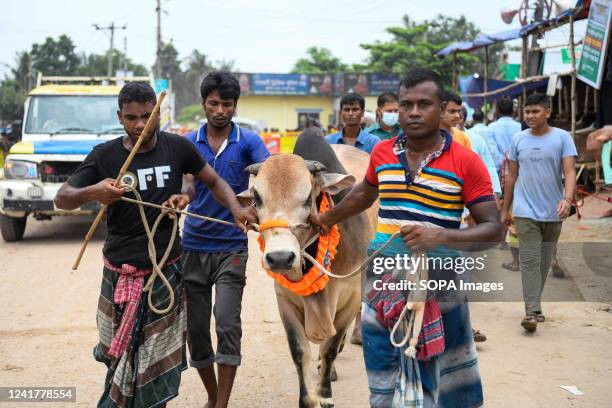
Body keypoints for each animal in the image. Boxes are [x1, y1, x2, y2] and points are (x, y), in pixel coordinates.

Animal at [240, 131, 378, 408]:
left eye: (307, 199)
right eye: (257, 198)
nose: (280, 258)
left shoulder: (350, 297)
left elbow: (330, 349)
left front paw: (324, 395)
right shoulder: (284, 299)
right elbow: (299, 351)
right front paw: (308, 399)